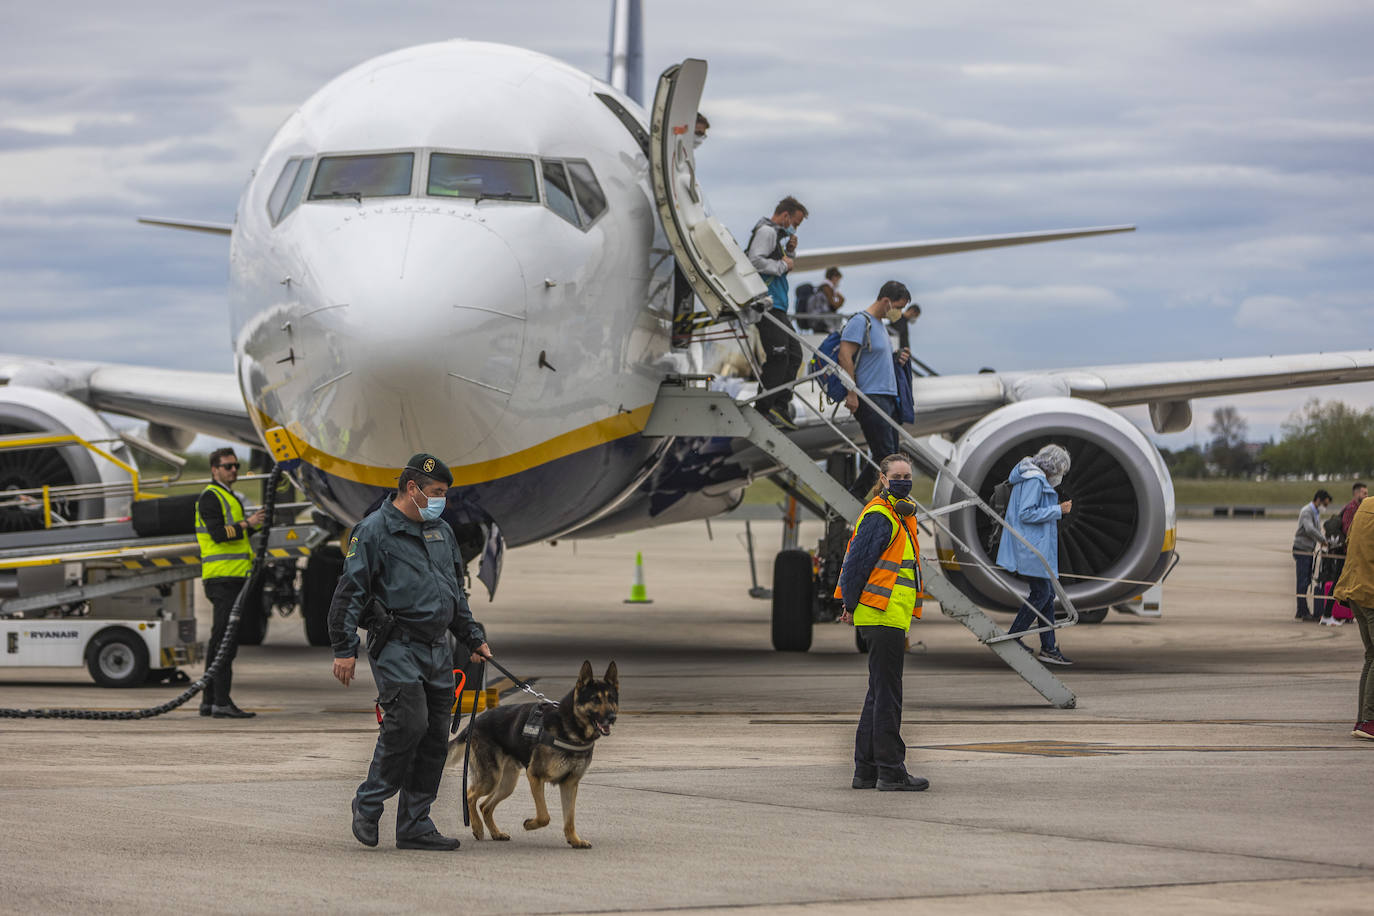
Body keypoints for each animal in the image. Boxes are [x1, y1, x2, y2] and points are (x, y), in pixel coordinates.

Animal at [450, 661, 618, 851]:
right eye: (595, 699)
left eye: (612, 698)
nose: (612, 717)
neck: (570, 727)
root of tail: (475, 721)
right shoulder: (535, 776)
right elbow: (544, 816)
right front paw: (530, 824)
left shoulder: (570, 784)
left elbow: (569, 818)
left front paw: (574, 840)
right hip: (491, 779)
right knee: (470, 796)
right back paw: (477, 827)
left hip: (507, 783)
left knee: (485, 806)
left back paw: (496, 833)